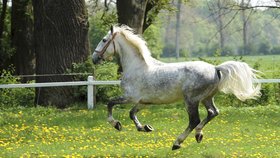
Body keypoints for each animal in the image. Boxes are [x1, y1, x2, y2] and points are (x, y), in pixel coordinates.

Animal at [92, 24, 260, 149]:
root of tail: (215, 68)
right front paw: (145, 128)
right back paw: (198, 135)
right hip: (206, 98)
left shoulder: (130, 97)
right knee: (213, 112)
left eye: (104, 40)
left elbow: (110, 103)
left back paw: (177, 143)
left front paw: (116, 124)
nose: (94, 58)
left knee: (194, 120)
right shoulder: (144, 102)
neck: (136, 67)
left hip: (191, 100)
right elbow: (131, 114)